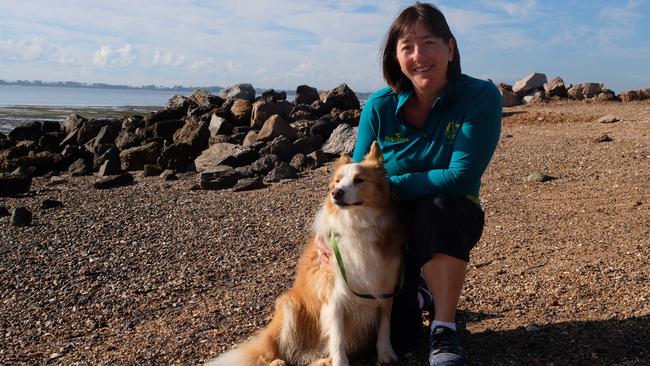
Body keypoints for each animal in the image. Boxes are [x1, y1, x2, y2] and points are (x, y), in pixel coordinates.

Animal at [206, 141, 400, 366]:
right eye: (337, 181)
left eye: (359, 180)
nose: (336, 193)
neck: (357, 224)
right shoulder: (334, 298)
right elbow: (337, 339)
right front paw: (340, 362)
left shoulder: (384, 289)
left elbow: (384, 327)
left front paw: (386, 353)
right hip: (289, 306)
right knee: (272, 351)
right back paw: (278, 362)